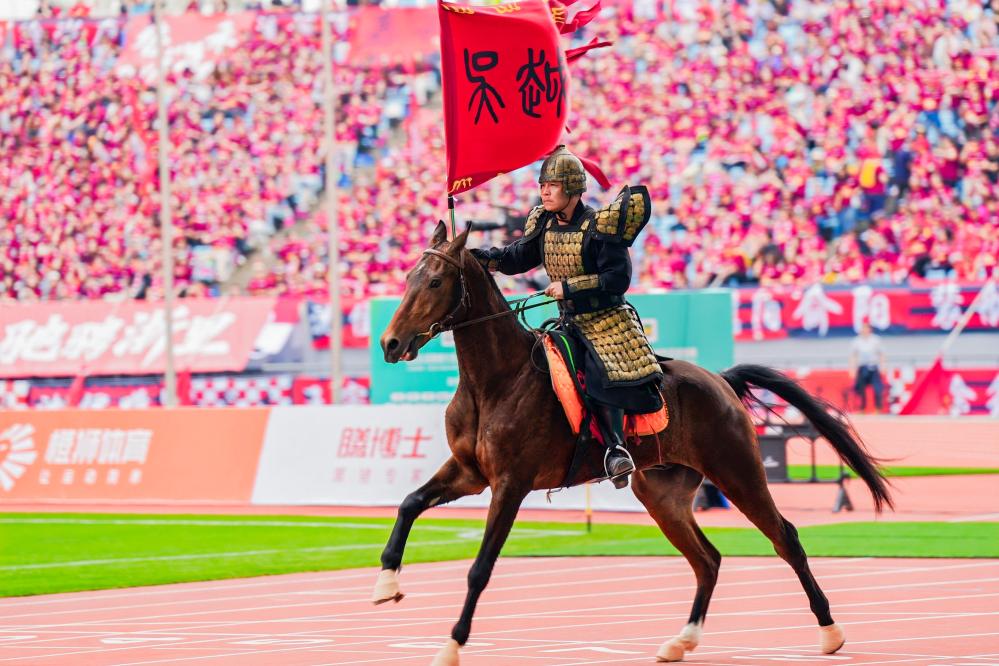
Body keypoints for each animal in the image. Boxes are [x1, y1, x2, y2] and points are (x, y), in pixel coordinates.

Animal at [374, 222, 892, 665]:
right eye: (408, 278)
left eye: (436, 281)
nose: (390, 343)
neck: (497, 381)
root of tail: (720, 380)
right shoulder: (469, 472)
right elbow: (409, 503)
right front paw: (386, 581)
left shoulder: (510, 484)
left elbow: (480, 568)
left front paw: (451, 644)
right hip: (662, 493)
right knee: (707, 560)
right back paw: (682, 640)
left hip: (738, 473)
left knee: (785, 538)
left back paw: (830, 631)